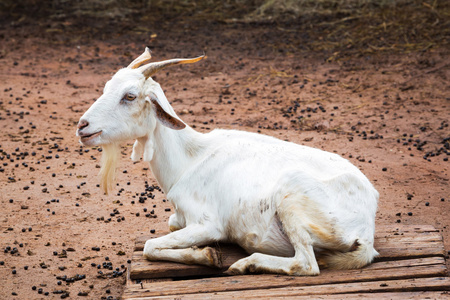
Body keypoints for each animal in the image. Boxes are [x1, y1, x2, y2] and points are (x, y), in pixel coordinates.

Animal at [75, 48, 378, 276]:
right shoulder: (181, 217)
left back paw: (246, 264)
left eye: (130, 96)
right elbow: (170, 223)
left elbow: (150, 246)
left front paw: (208, 255)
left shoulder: (209, 224)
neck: (190, 159)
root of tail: (367, 228)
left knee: (306, 263)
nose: (82, 126)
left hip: (292, 199)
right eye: (106, 87)